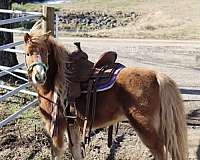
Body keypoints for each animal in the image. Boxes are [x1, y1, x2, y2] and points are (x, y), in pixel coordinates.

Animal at [23, 30, 188, 160]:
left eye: (46, 53)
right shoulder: (73, 125)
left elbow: (57, 153)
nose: (39, 76)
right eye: (28, 53)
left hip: (146, 130)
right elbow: (75, 151)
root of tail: (156, 75)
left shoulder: (56, 126)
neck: (59, 79)